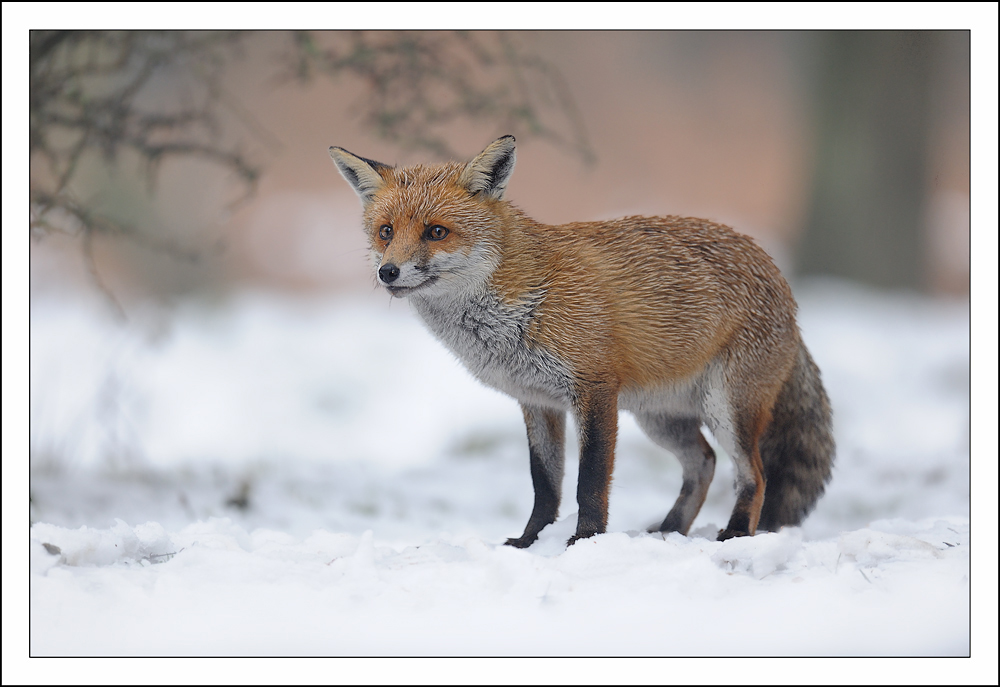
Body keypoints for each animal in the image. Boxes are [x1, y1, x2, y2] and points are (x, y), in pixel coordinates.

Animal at [329, 135, 834, 547]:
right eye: (386, 232)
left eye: (436, 232)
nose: (388, 272)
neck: (519, 305)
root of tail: (780, 278)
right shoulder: (536, 401)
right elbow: (545, 484)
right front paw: (529, 542)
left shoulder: (594, 389)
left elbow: (588, 480)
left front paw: (584, 540)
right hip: (660, 417)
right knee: (704, 464)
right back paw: (669, 532)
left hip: (726, 409)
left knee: (754, 475)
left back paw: (734, 533)